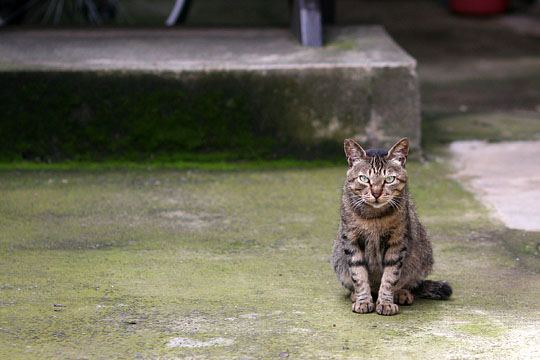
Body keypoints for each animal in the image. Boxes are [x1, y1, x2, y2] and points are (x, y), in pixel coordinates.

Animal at [330, 138, 452, 316]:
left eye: (389, 179)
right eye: (364, 178)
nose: (376, 193)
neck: (374, 217)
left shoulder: (396, 243)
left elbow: (390, 277)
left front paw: (386, 302)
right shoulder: (351, 241)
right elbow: (359, 275)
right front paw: (363, 300)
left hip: (424, 254)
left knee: (409, 283)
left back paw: (401, 293)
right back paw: (356, 295)